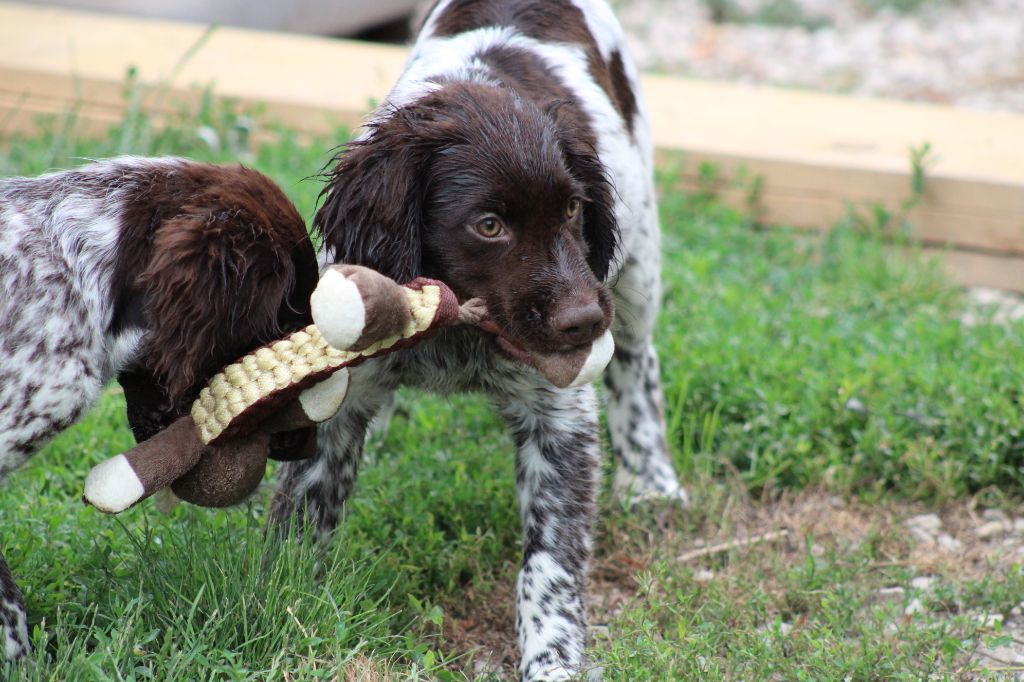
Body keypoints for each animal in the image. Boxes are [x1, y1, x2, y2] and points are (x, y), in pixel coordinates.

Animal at [270, 2, 688, 675]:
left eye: (573, 210)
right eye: (489, 226)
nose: (582, 322)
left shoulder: (560, 420)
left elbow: (549, 563)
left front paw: (552, 661)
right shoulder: (339, 395)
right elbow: (306, 513)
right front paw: (287, 608)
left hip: (638, 265)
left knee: (636, 362)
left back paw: (653, 481)